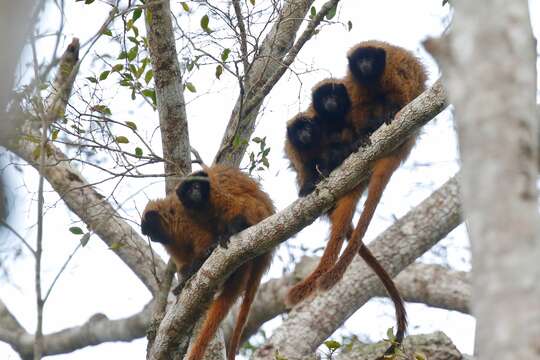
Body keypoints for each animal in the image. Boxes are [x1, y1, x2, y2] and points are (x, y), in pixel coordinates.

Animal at [140, 166, 274, 360]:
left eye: (150, 231)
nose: (152, 238)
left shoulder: (186, 216)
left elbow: (206, 237)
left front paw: (204, 256)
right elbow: (184, 263)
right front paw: (185, 279)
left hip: (257, 213)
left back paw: (235, 228)